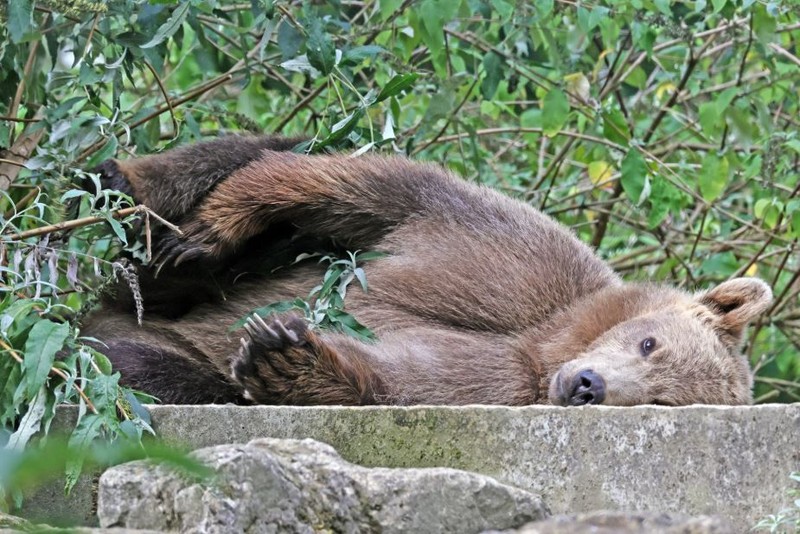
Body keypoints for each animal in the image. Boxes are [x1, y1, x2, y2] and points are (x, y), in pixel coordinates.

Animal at [79, 136, 768, 408]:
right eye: (649, 342)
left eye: (661, 398)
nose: (588, 385)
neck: (552, 338)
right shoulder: (501, 257)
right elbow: (365, 190)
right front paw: (212, 229)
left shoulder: (492, 382)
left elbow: (396, 376)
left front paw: (281, 353)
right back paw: (122, 192)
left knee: (143, 370)